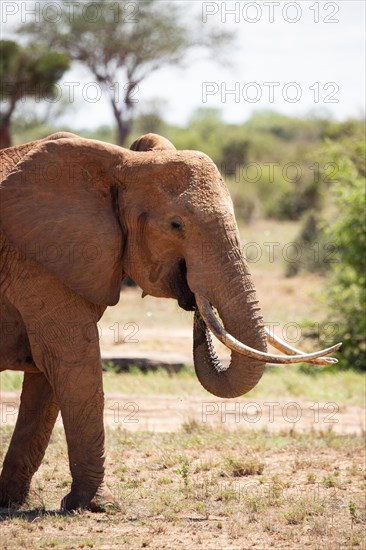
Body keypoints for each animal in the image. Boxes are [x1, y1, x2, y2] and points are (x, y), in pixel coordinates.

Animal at [0, 132, 340, 512]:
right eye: (176, 225)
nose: (194, 297)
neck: (120, 165)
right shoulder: (38, 262)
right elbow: (72, 363)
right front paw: (98, 506)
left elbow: (47, 377)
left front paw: (12, 503)